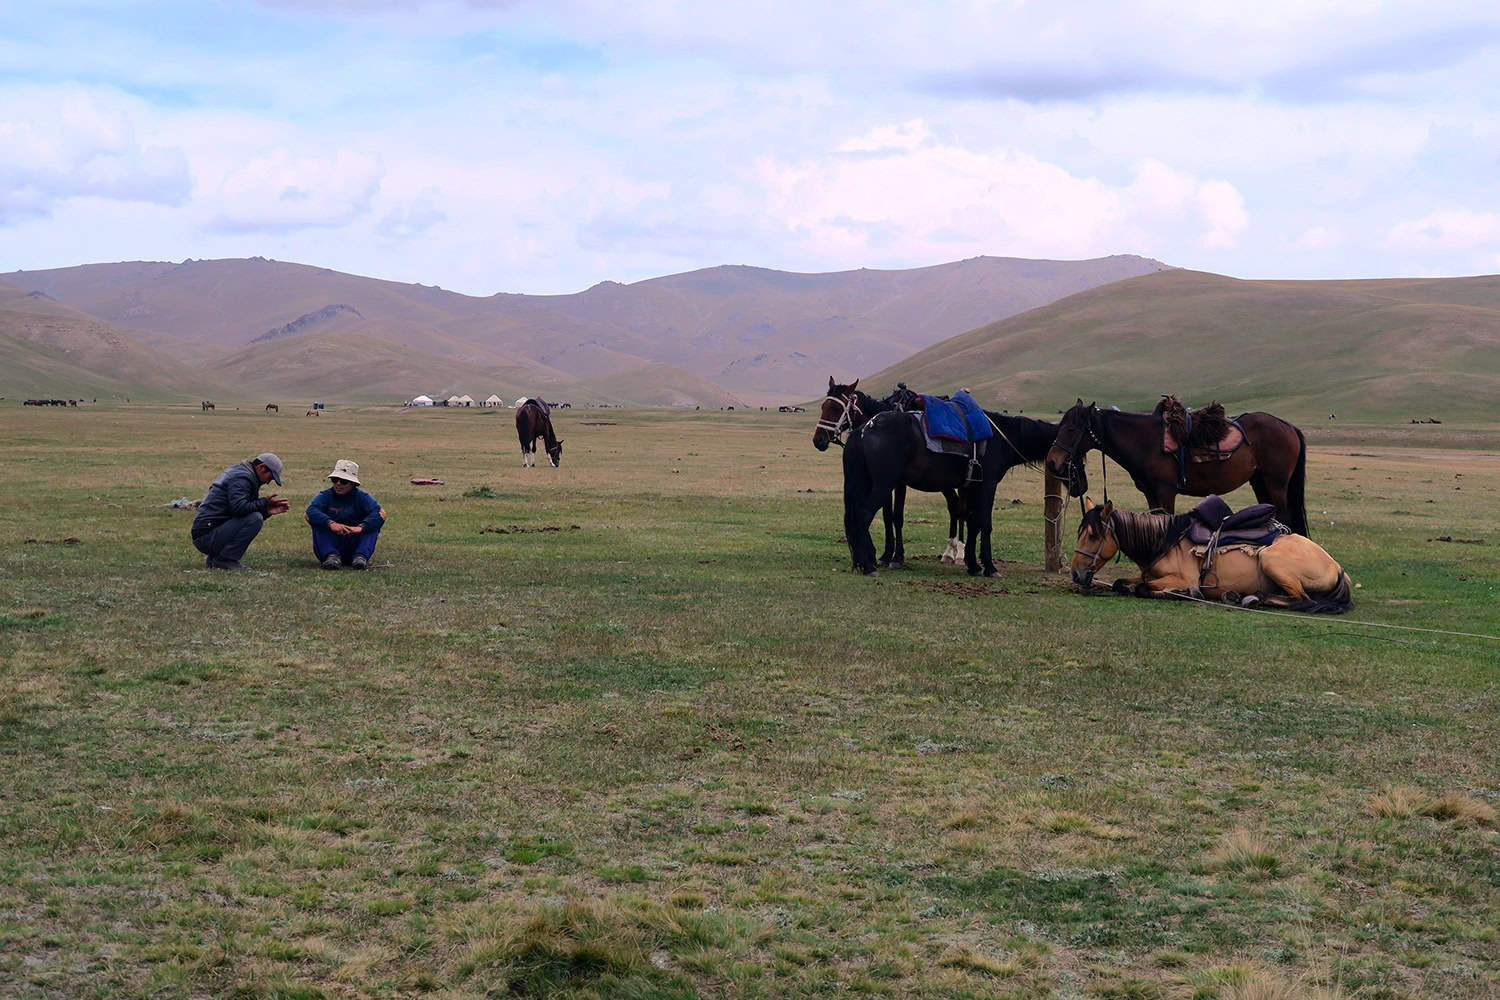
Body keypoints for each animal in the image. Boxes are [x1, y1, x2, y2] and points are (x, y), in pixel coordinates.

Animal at [816, 377, 966, 566]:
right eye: (823, 406)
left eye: (836, 409)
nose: (818, 440)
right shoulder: (884, 482)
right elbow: (887, 516)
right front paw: (886, 555)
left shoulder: (899, 483)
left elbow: (898, 516)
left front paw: (898, 557)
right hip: (943, 481)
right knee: (953, 504)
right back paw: (948, 552)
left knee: (961, 507)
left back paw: (960, 552)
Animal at [840, 407, 1062, 578]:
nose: (1056, 464)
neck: (1001, 438)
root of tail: (864, 429)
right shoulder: (988, 484)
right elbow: (984, 523)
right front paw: (990, 568)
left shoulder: (972, 487)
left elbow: (973, 522)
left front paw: (973, 565)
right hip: (884, 484)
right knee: (863, 515)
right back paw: (868, 565)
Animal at [1044, 401, 1314, 539]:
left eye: (1071, 429)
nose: (1053, 461)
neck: (1146, 441)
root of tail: (1288, 426)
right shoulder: (1151, 494)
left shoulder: (1166, 491)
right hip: (1260, 482)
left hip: (1276, 483)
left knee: (1285, 518)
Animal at [1074, 497, 1356, 614]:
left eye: (1093, 535)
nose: (1076, 574)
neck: (1165, 543)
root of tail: (1337, 567)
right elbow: (1122, 583)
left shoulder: (1183, 579)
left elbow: (1146, 588)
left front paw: (1185, 595)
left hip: (1270, 559)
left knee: (1303, 600)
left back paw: (1251, 598)